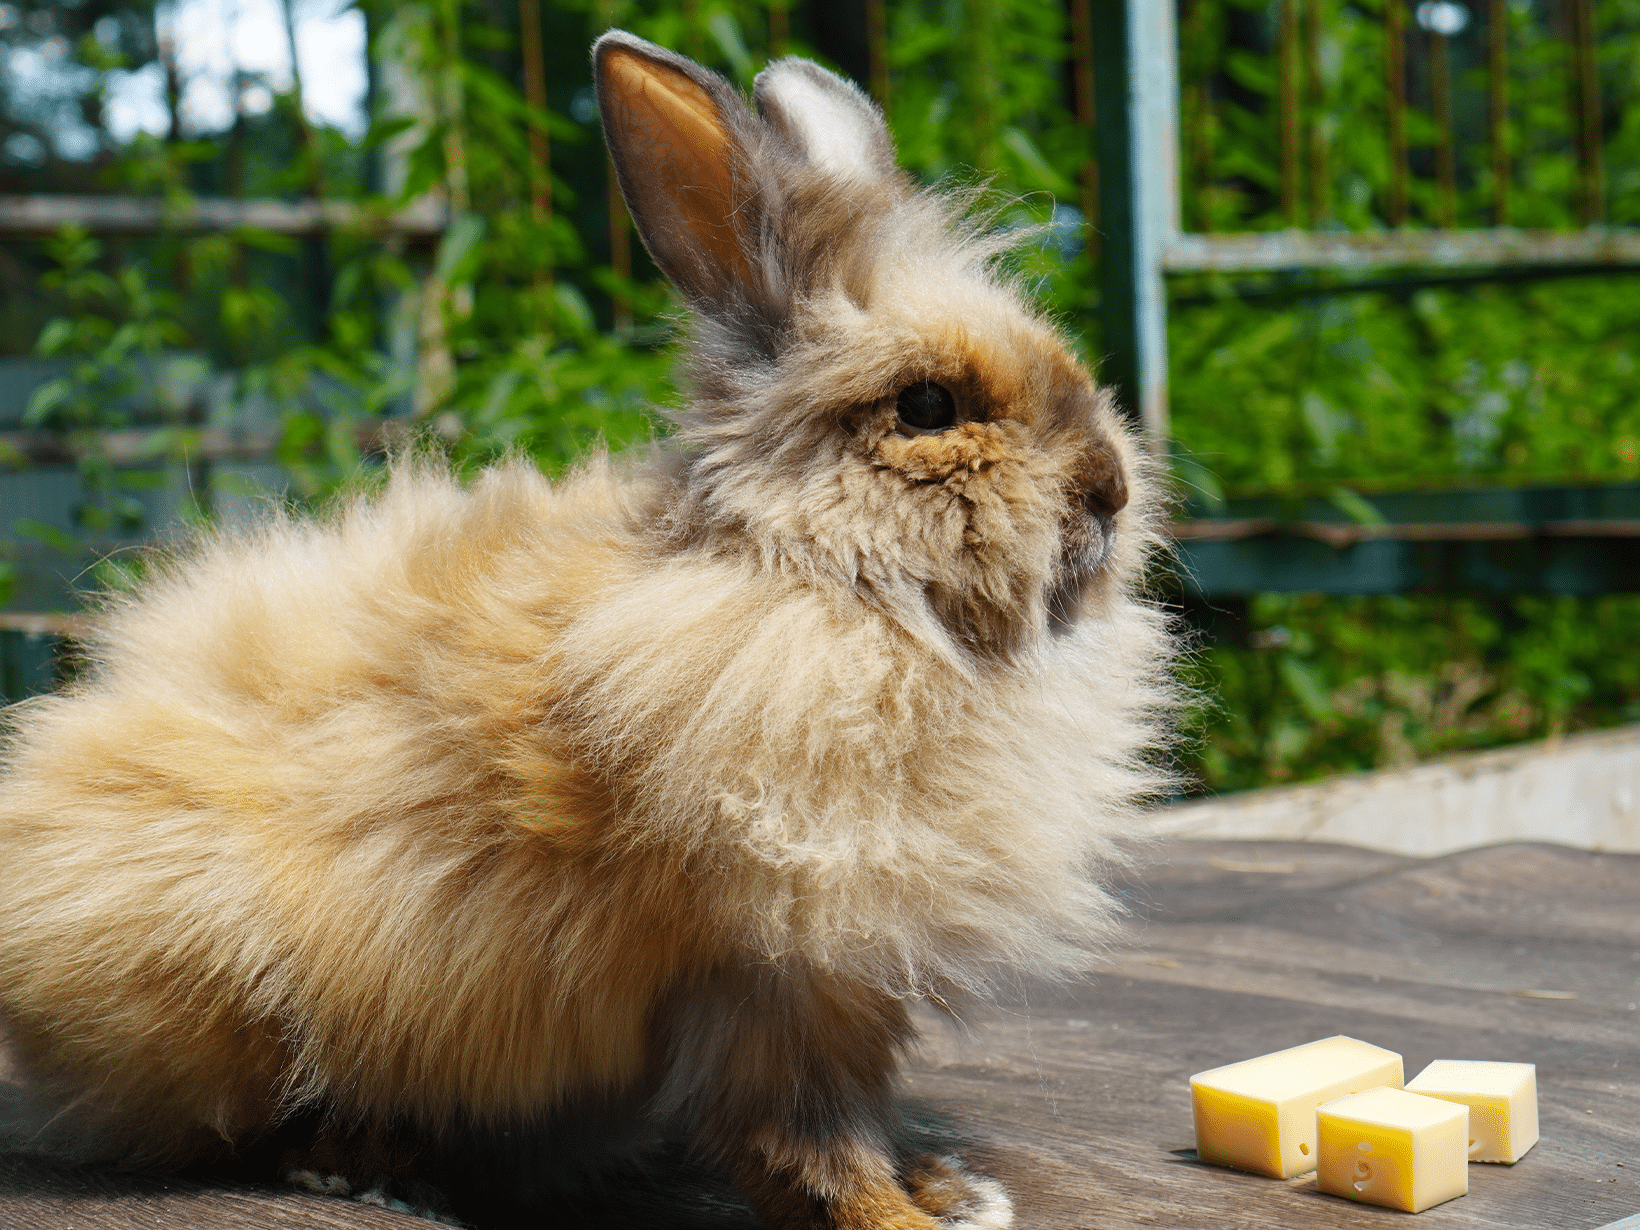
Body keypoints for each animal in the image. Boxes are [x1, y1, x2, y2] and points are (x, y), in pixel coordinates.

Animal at [0, 26, 1180, 1230]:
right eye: (928, 408)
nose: (1111, 492)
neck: (830, 591)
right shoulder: (771, 977)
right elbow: (803, 1133)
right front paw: (888, 1213)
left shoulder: (848, 982)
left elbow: (854, 1104)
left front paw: (945, 1190)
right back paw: (364, 1167)